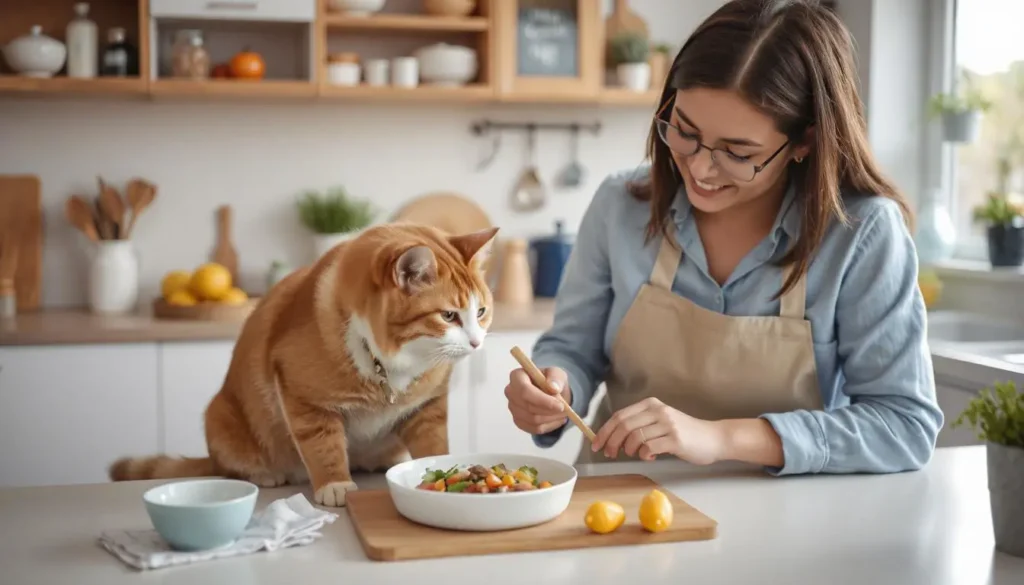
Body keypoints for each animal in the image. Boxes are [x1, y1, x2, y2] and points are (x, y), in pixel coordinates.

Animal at [109, 222, 499, 506]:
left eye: (480, 311)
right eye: (448, 316)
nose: (477, 343)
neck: (387, 365)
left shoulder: (428, 407)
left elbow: (434, 444)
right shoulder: (303, 397)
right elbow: (322, 446)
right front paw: (335, 485)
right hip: (219, 415)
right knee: (228, 465)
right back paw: (265, 474)